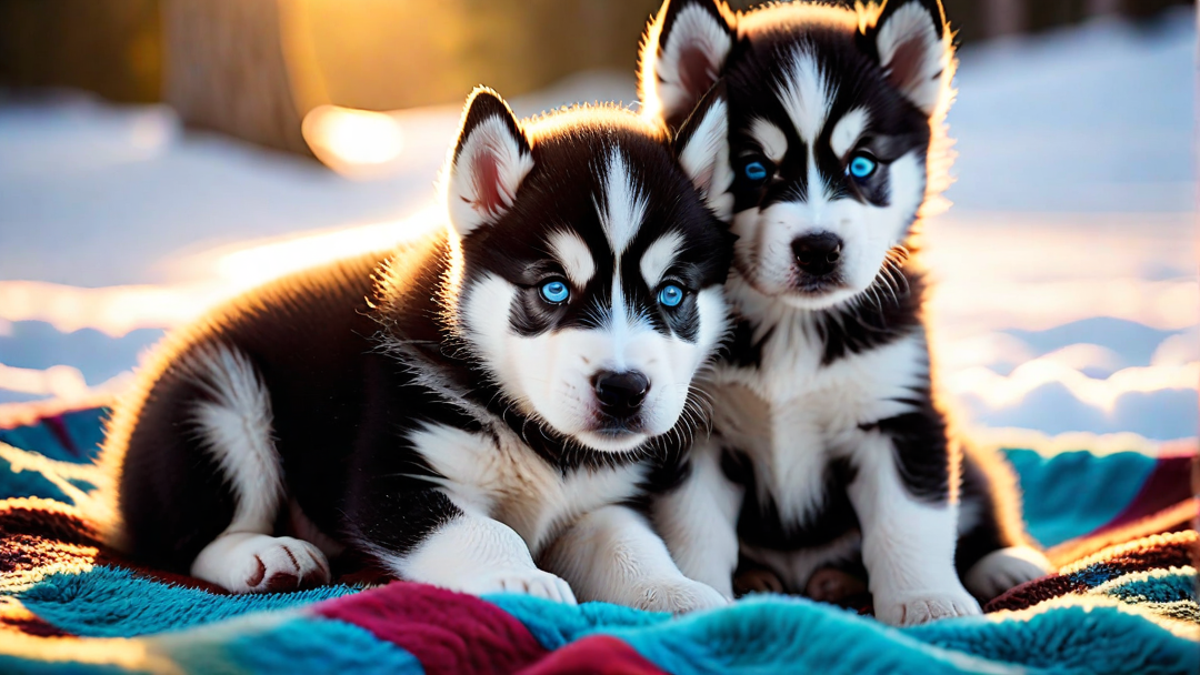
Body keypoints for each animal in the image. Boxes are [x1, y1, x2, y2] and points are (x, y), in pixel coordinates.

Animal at [98, 85, 734, 610]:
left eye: (672, 293)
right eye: (553, 288)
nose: (624, 389)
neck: (538, 437)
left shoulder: (602, 501)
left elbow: (632, 545)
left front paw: (683, 593)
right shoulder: (393, 480)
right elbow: (483, 530)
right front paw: (521, 577)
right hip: (223, 399)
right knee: (189, 539)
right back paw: (263, 555)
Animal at [638, 0, 1051, 624]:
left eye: (861, 164)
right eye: (753, 169)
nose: (818, 248)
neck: (792, 326)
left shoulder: (901, 417)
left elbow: (909, 521)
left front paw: (927, 600)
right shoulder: (694, 436)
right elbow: (693, 530)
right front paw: (697, 592)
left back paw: (1003, 560)